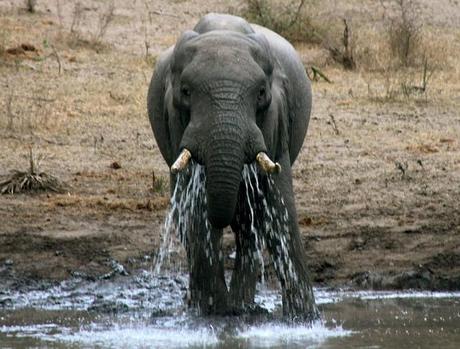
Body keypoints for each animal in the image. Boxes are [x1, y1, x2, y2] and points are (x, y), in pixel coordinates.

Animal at [146, 12, 316, 318]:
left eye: (261, 93)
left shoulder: (275, 120)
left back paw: (242, 307)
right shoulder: (176, 122)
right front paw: (213, 309)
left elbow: (278, 206)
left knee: (251, 224)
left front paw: (305, 320)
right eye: (186, 92)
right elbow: (196, 212)